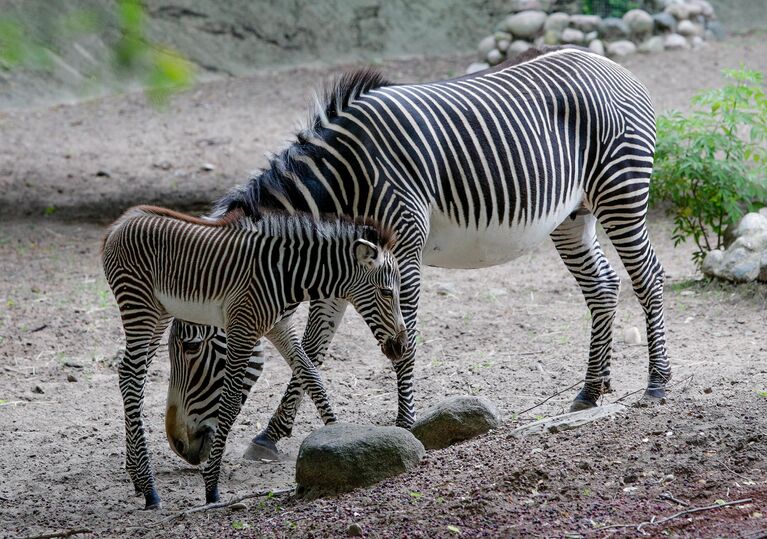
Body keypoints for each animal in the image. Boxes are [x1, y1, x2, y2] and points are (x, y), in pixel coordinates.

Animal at [100, 205, 408, 508]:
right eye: (386, 292)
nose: (400, 347)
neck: (287, 274)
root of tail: (120, 223)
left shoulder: (279, 327)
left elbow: (312, 377)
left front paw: (342, 443)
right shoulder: (242, 329)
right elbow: (229, 402)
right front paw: (211, 486)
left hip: (158, 313)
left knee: (132, 377)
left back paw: (139, 479)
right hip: (139, 305)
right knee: (131, 376)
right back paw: (150, 489)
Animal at [166, 46, 664, 460]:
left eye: (191, 348)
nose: (178, 446)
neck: (345, 181)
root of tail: (611, 64)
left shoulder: (402, 248)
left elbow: (404, 339)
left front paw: (405, 424)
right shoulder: (339, 263)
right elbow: (312, 349)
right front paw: (270, 435)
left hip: (620, 191)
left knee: (648, 277)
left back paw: (657, 382)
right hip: (573, 215)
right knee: (603, 287)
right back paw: (590, 391)